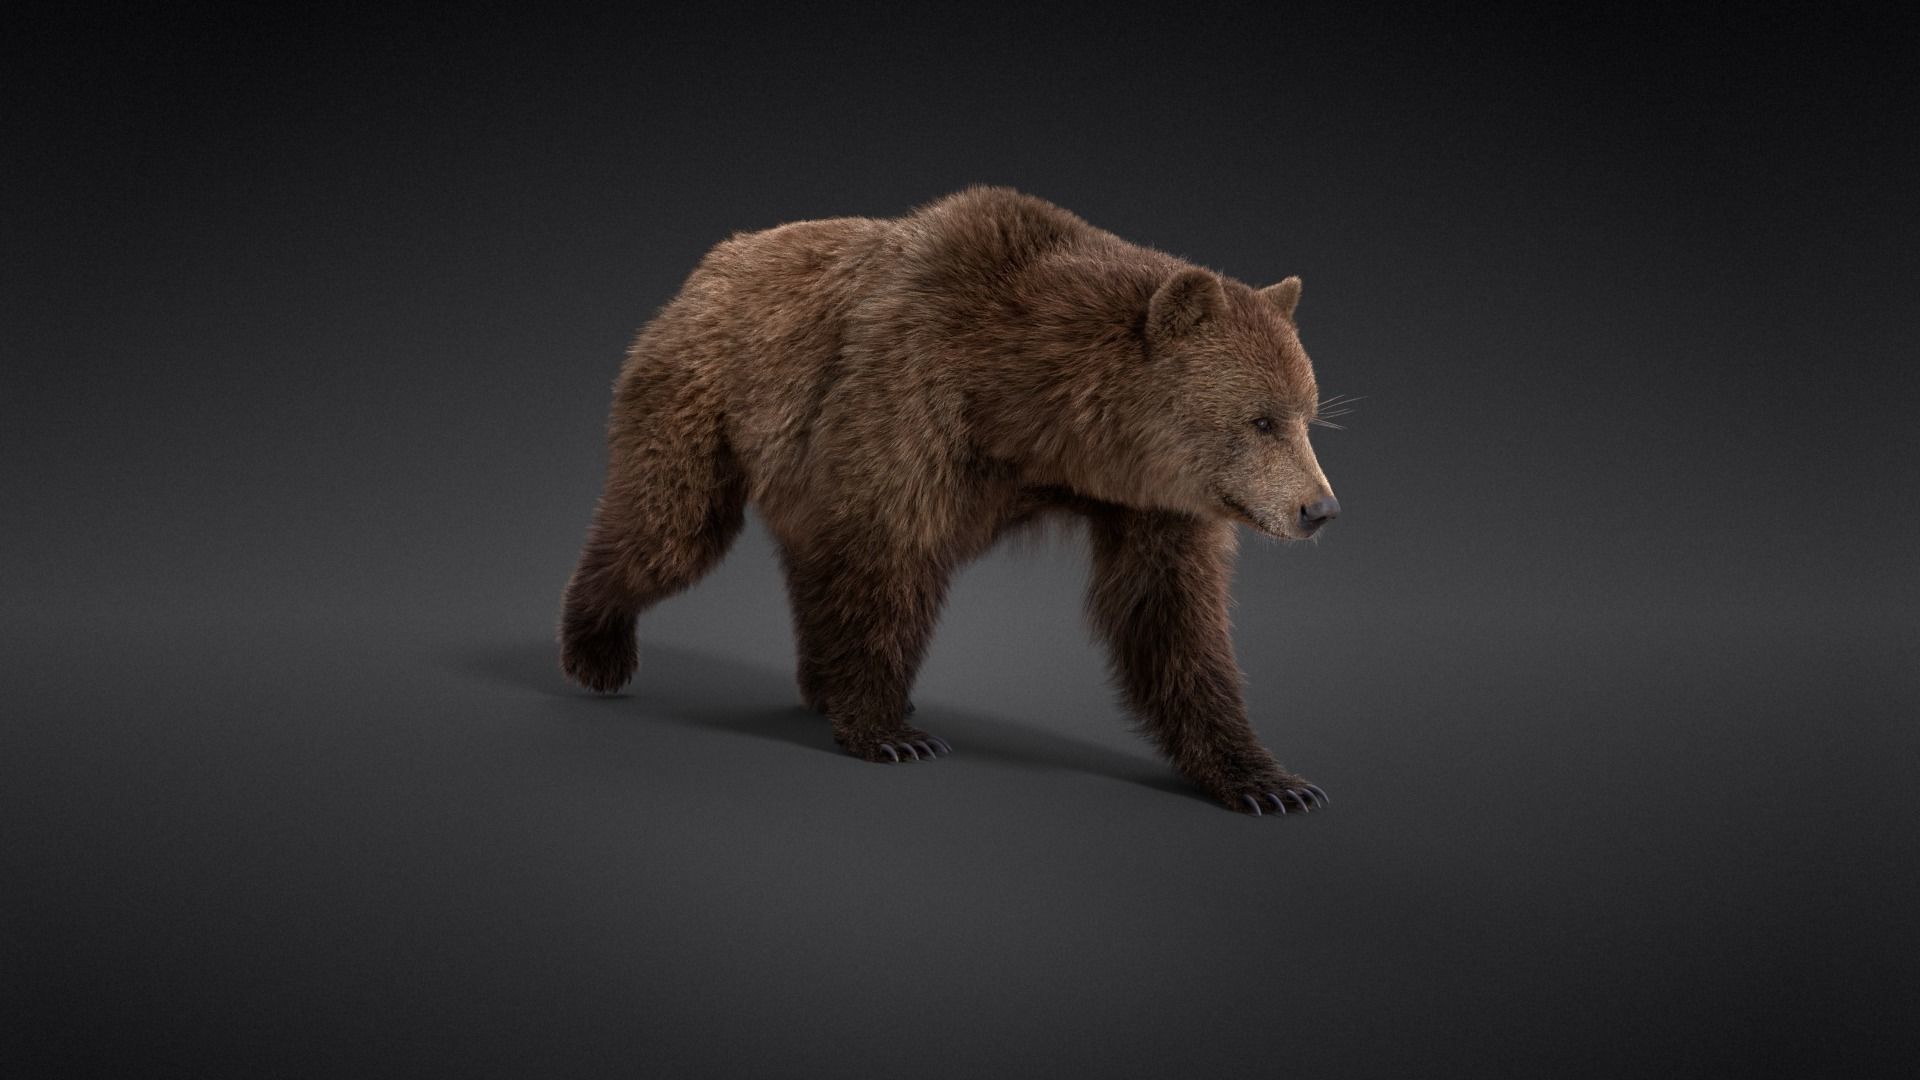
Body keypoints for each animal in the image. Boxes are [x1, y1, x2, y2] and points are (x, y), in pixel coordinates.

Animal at [559, 185, 1342, 815]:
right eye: (1261, 419)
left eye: (1309, 414)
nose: (1320, 509)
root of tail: (713, 262)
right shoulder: (911, 395)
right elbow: (886, 557)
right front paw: (891, 733)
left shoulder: (1155, 500)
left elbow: (1171, 618)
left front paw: (1270, 781)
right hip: (706, 393)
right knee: (670, 530)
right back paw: (596, 648)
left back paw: (819, 683)